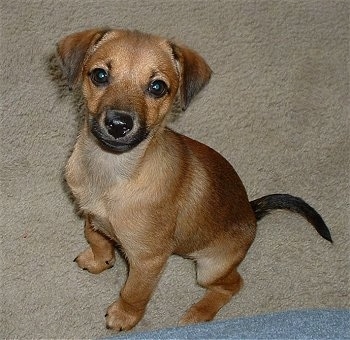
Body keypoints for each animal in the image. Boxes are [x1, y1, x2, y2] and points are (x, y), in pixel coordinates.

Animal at [56, 27, 332, 330]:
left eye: (157, 87)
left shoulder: (148, 260)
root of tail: (251, 210)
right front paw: (101, 260)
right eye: (100, 75)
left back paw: (199, 314)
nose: (118, 124)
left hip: (210, 268)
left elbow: (134, 292)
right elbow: (96, 237)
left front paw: (124, 315)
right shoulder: (91, 216)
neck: (113, 171)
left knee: (233, 285)